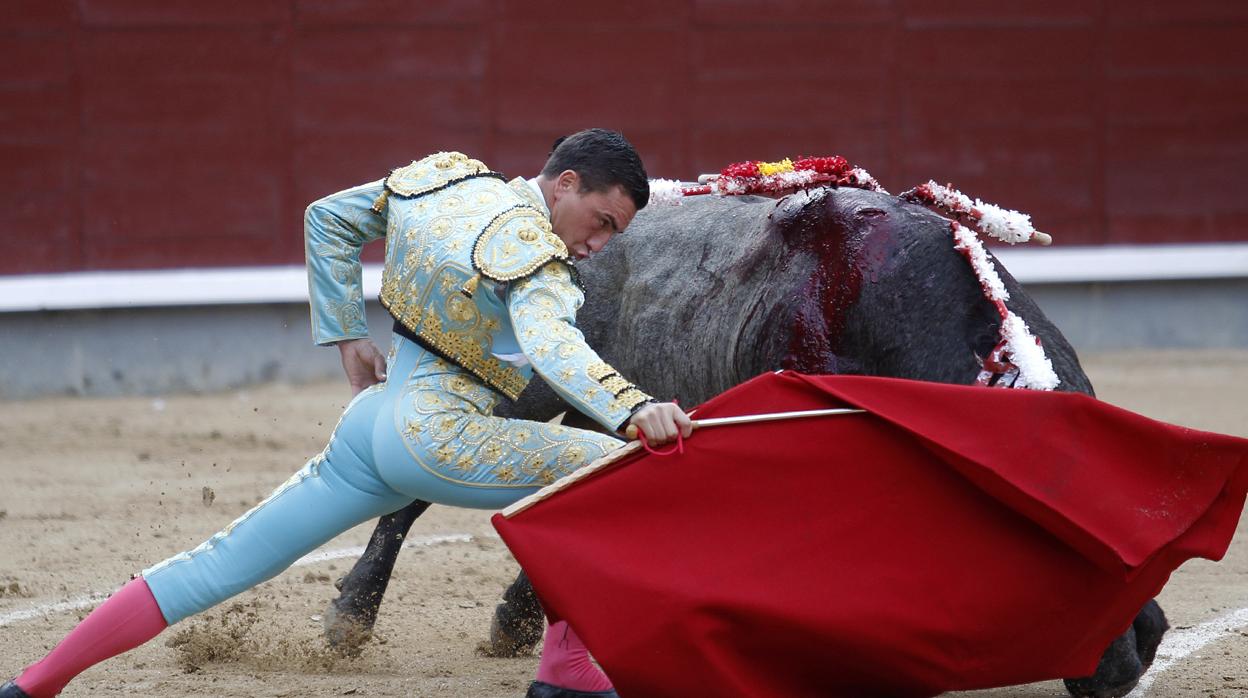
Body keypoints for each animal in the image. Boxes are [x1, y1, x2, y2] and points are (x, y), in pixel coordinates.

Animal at [319, 186, 1158, 698]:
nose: (1111, 666)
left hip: (601, 401)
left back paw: (518, 622)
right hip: (519, 382)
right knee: (412, 490)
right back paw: (351, 619)